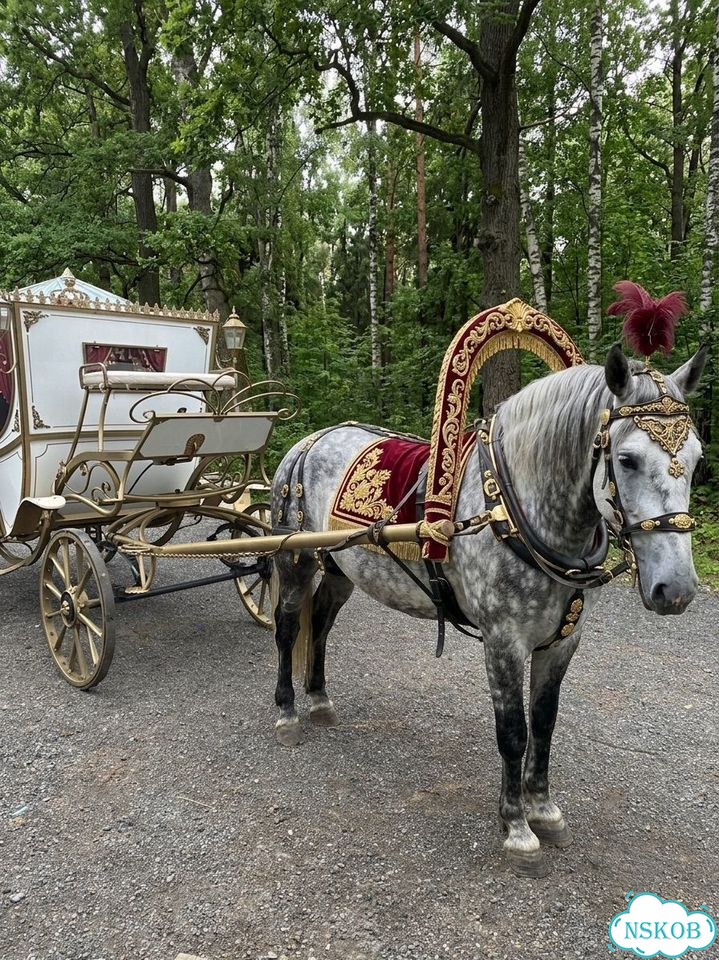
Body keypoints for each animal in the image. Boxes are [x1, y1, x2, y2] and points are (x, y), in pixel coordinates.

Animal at [269, 344, 707, 878]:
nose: (676, 588)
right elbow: (513, 732)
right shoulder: (503, 642)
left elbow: (544, 722)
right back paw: (288, 711)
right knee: (288, 627)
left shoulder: (563, 641)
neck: (513, 512)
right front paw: (517, 828)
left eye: (698, 458)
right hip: (294, 558)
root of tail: (309, 441)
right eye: (626, 459)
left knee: (321, 623)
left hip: (339, 568)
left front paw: (543, 809)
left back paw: (319, 698)